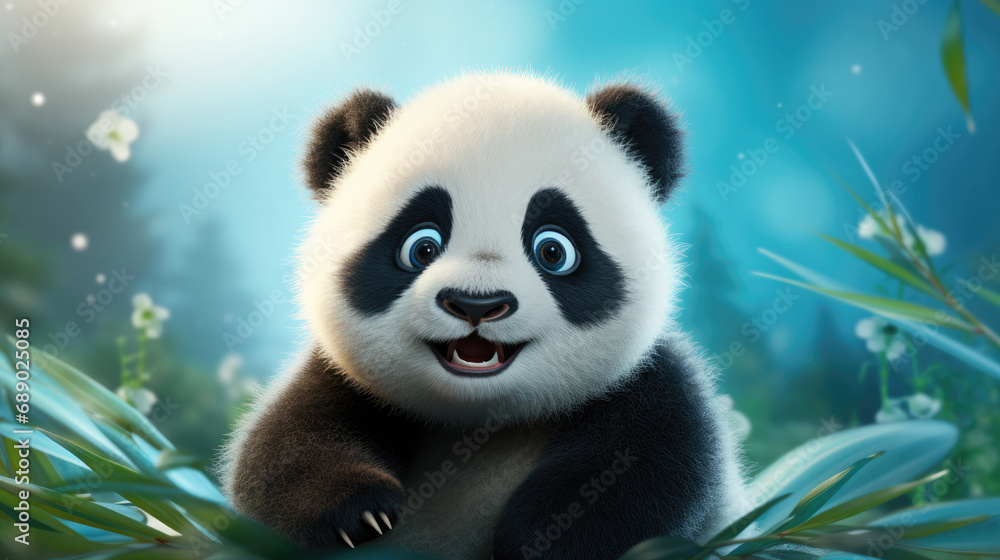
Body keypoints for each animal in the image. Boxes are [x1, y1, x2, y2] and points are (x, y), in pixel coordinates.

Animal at [221, 72, 747, 560]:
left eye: (553, 249)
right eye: (421, 246)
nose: (477, 304)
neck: (479, 421)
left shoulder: (648, 384)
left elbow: (651, 474)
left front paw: (542, 536)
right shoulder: (345, 378)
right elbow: (279, 455)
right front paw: (361, 513)